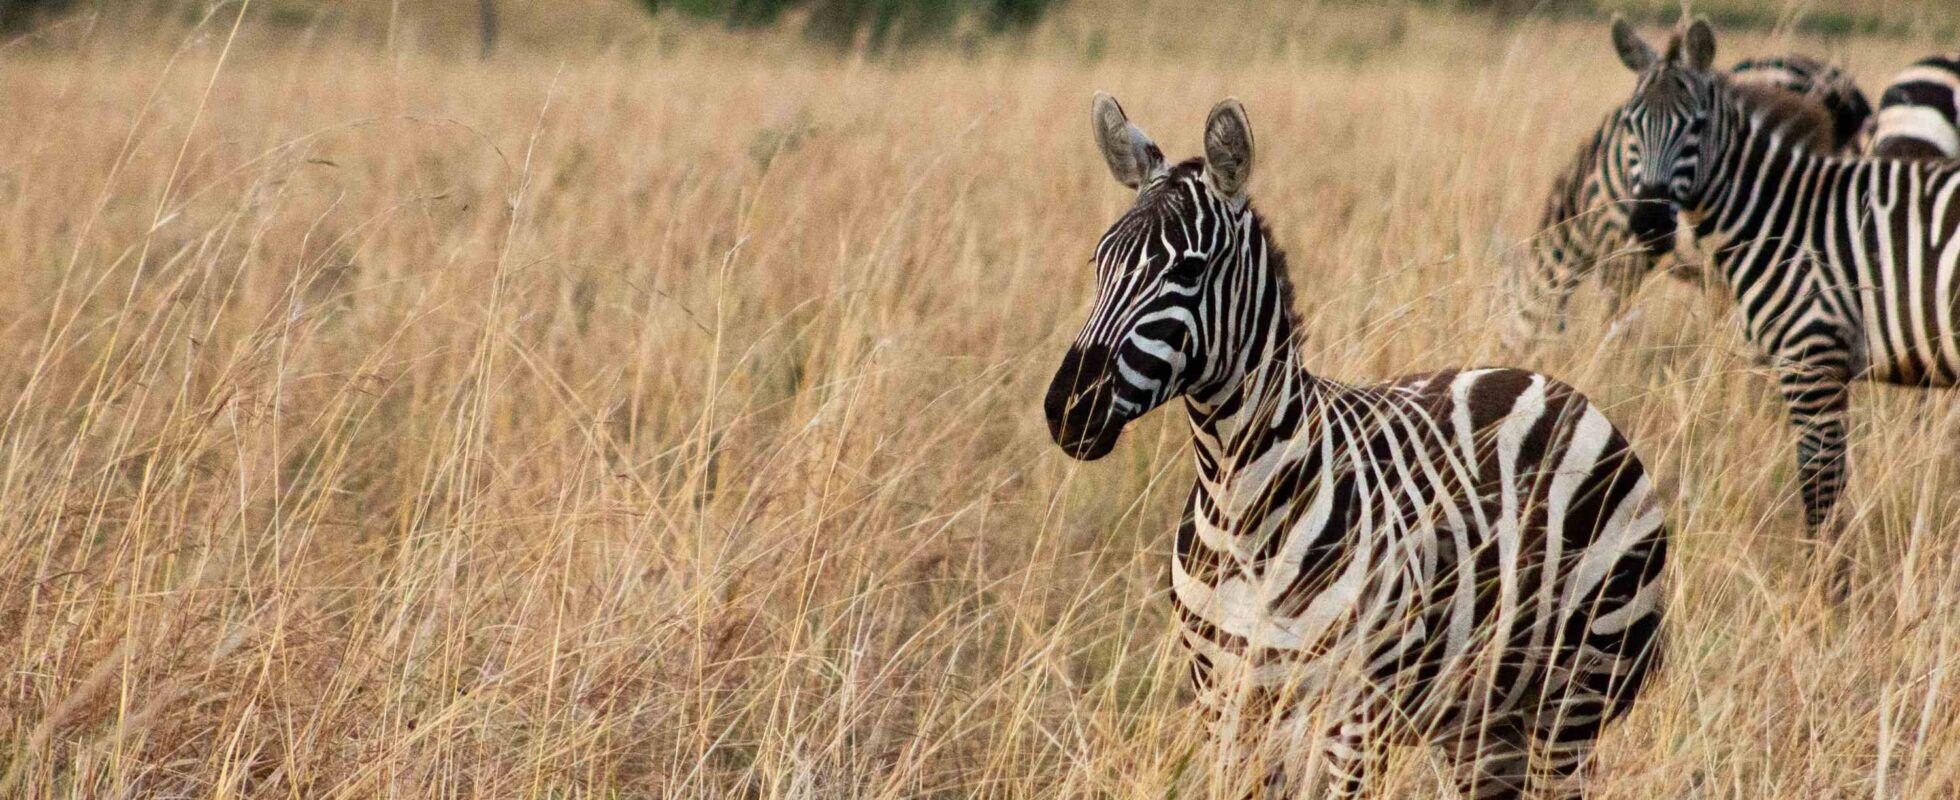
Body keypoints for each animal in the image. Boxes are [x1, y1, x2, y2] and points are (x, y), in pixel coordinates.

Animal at [1042, 92, 1669, 792]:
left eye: (1189, 270)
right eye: (1099, 263)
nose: (1067, 408)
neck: (1240, 511)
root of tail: (1552, 384)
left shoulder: (1353, 718)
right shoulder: (1224, 705)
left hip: (1576, 692)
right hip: (1483, 722)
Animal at [1599, 15, 1960, 596]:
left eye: (1696, 125)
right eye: (1631, 124)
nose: (1649, 223)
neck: (1779, 218)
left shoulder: (1811, 358)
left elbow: (1818, 487)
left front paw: (1824, 594)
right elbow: (1824, 486)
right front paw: (1828, 587)